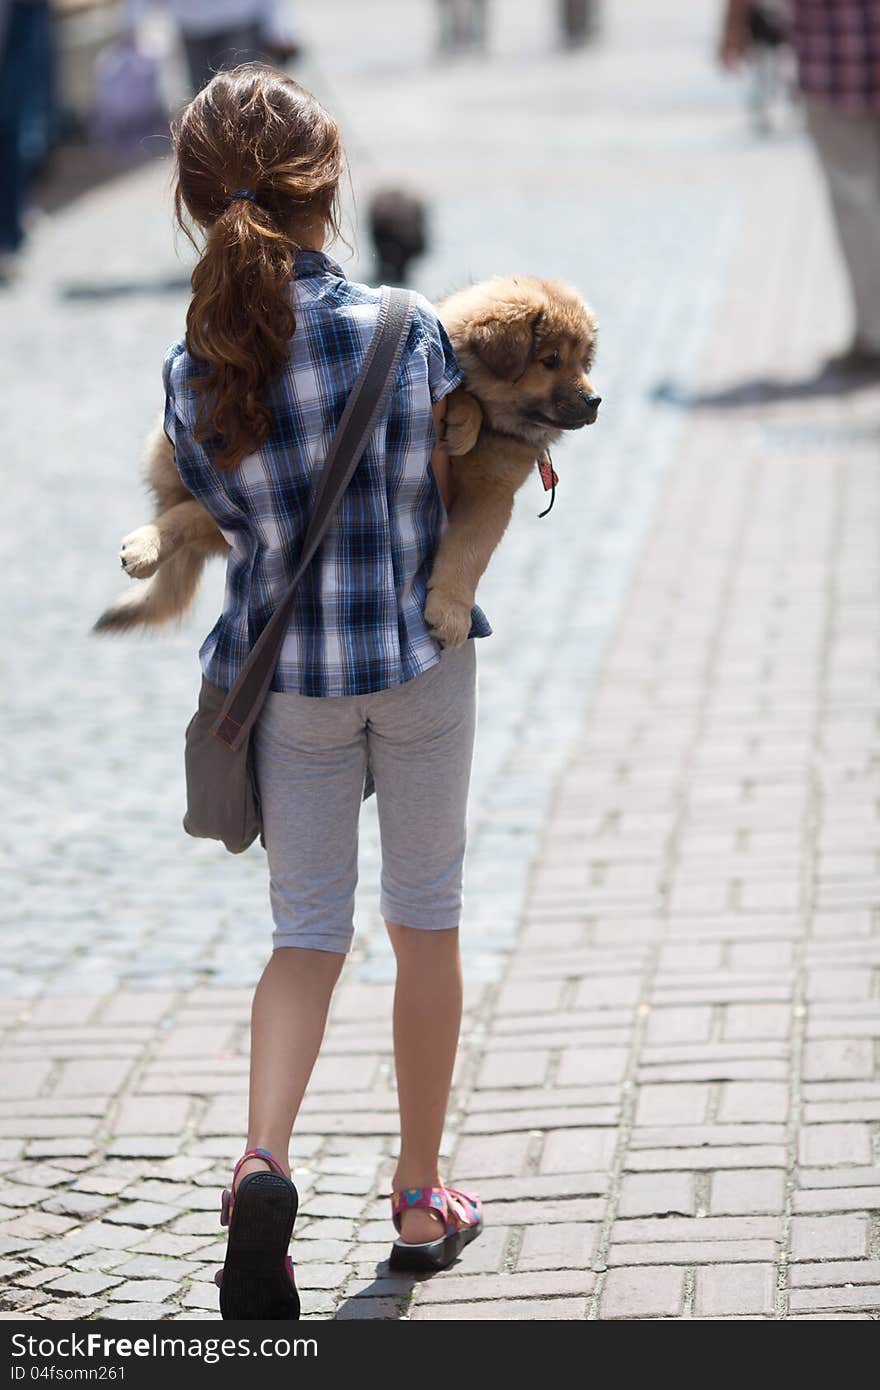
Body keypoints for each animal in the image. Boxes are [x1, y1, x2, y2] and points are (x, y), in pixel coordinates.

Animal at [92, 276, 597, 644]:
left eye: (584, 362)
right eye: (551, 360)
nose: (596, 401)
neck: (499, 425)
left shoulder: (492, 495)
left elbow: (469, 553)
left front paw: (450, 612)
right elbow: (460, 393)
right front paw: (463, 418)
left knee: (197, 516)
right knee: (185, 510)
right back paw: (145, 546)